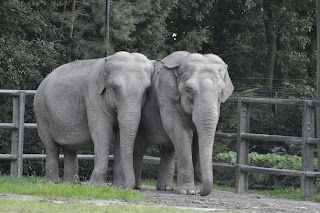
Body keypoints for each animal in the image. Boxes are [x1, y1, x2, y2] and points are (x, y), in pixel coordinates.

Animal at [33, 50, 153, 187]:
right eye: (115, 88)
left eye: (146, 91)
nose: (125, 187)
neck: (106, 62)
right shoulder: (93, 94)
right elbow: (102, 133)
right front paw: (97, 186)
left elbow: (119, 137)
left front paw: (117, 186)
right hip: (41, 110)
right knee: (51, 146)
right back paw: (54, 182)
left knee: (69, 148)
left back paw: (71, 184)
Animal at [114, 50, 234, 196]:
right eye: (188, 90)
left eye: (221, 91)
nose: (202, 193)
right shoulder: (166, 96)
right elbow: (180, 132)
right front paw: (188, 191)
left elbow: (197, 139)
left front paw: (196, 189)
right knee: (139, 146)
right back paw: (137, 186)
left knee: (167, 149)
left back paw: (165, 188)